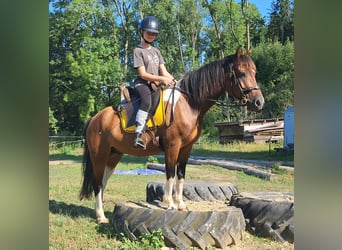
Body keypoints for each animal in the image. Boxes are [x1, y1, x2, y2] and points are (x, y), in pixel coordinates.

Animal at [79, 46, 264, 223]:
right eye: (242, 73)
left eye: (254, 72)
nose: (259, 102)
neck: (189, 103)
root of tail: (95, 118)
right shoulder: (172, 146)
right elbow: (170, 173)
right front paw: (169, 204)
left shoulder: (186, 148)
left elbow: (180, 175)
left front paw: (180, 204)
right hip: (99, 156)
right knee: (97, 184)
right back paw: (101, 216)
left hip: (114, 155)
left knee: (103, 183)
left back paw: (100, 213)